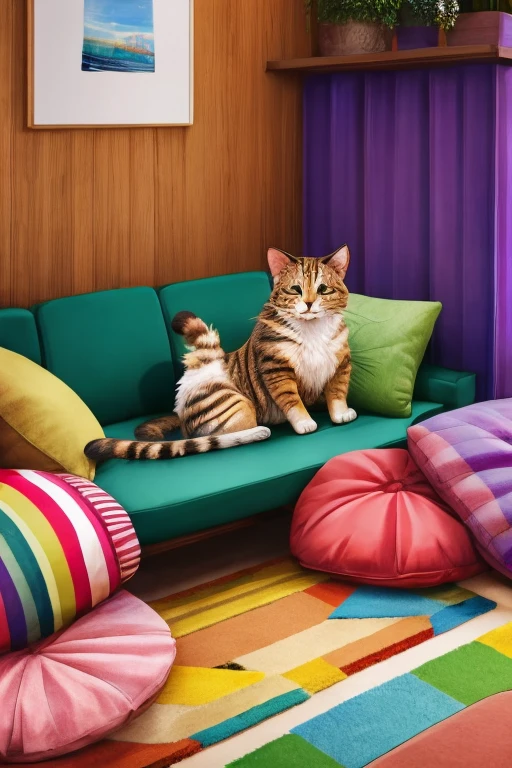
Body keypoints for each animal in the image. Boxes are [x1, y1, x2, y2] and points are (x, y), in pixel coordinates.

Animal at [85, 246, 356, 462]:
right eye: (295, 289)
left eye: (323, 289)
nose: (309, 304)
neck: (312, 331)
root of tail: (181, 407)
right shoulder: (276, 369)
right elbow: (292, 400)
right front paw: (305, 423)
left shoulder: (341, 364)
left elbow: (337, 394)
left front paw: (341, 415)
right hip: (237, 406)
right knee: (213, 437)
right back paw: (258, 432)